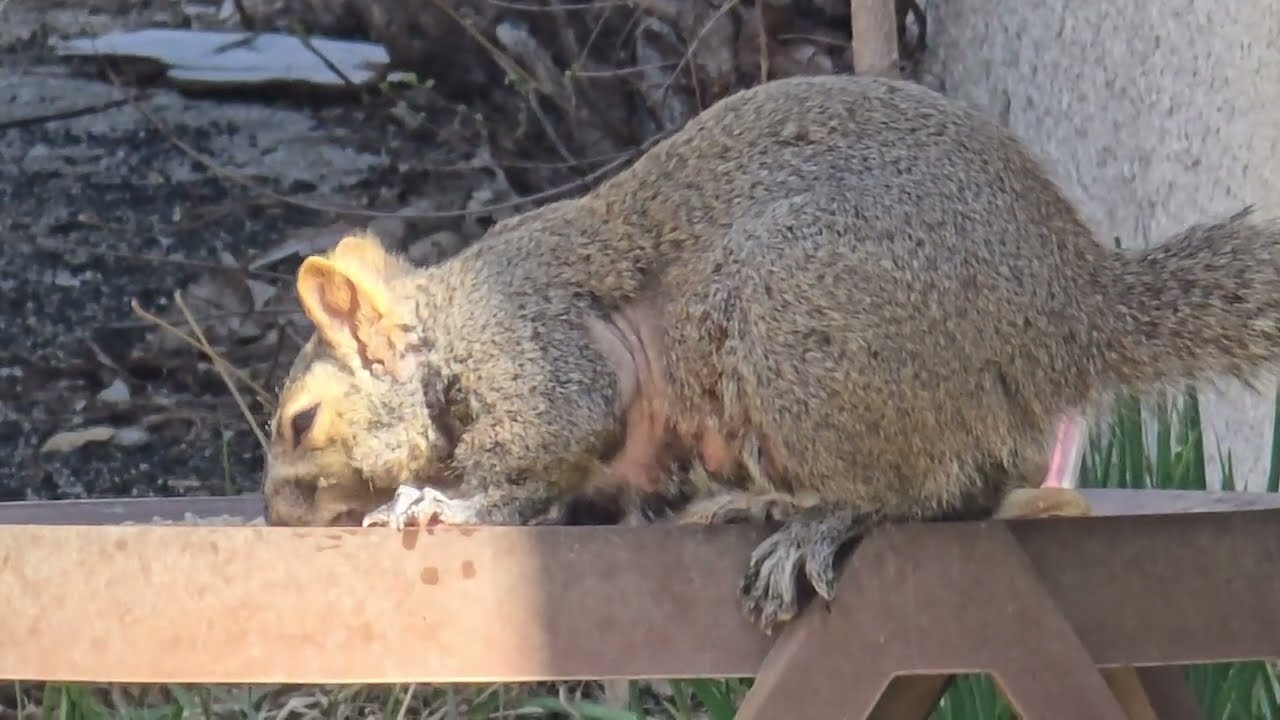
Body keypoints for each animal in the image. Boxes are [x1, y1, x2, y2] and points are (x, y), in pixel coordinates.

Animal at [261, 73, 1280, 632]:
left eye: (301, 422)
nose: (273, 515)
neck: (446, 326)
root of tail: (1065, 315)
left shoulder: (533, 344)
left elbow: (544, 441)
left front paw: (443, 502)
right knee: (970, 490)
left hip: (790, 324)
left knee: (917, 491)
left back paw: (817, 520)